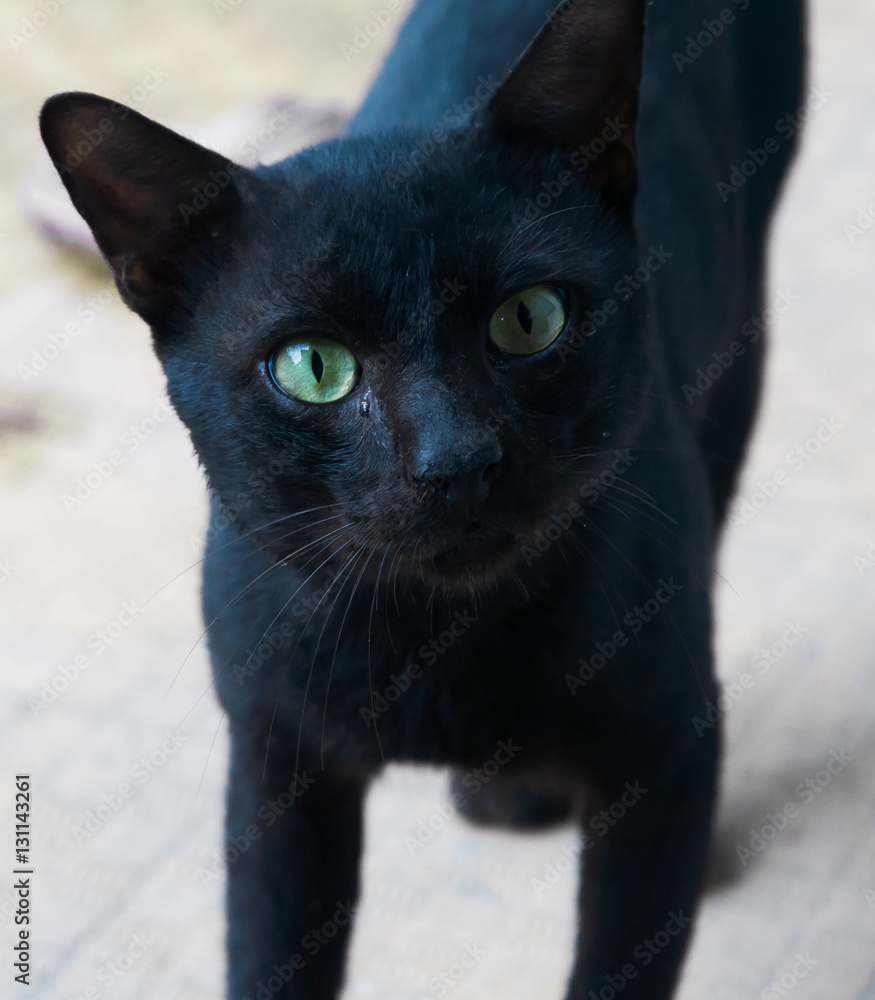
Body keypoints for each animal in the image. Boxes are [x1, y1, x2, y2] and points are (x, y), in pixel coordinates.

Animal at [41, 0, 808, 996]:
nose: (456, 461)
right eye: (312, 367)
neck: (435, 645)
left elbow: (619, 961)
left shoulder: (661, 753)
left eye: (529, 319)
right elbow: (268, 953)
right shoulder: (277, 764)